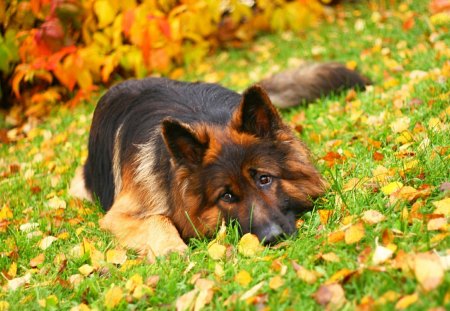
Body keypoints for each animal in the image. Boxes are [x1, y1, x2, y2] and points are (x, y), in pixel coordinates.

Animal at [69, 62, 366, 260]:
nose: (273, 237)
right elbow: (157, 220)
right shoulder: (119, 214)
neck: (208, 118)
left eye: (264, 179)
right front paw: (171, 249)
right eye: (226, 196)